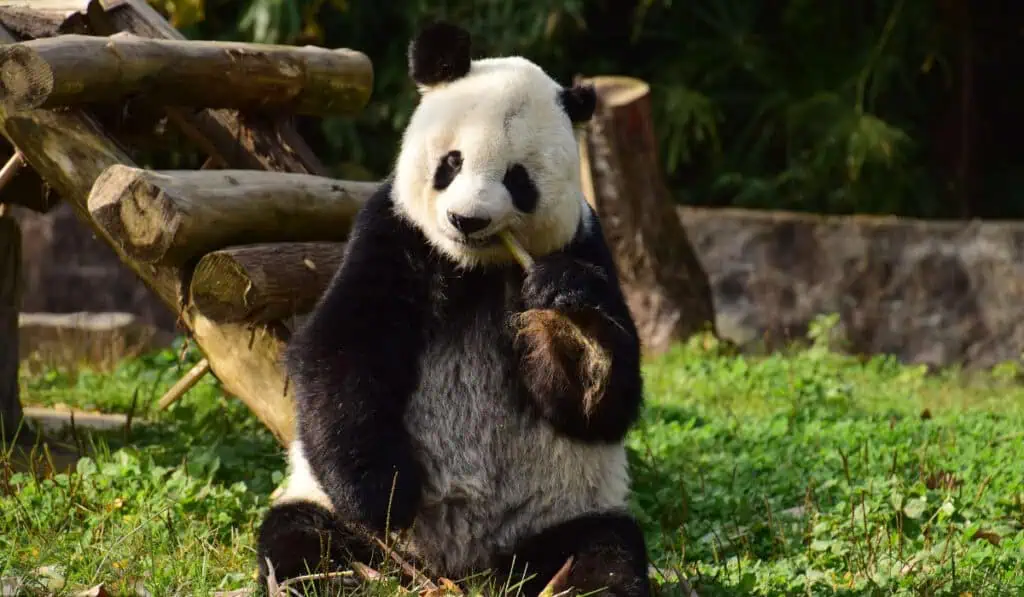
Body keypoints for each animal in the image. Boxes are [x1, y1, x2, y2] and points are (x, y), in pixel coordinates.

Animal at [256, 21, 652, 597]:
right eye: (452, 162)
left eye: (517, 179)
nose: (467, 219)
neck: (475, 266)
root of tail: (460, 566)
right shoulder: (394, 234)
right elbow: (340, 349)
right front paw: (384, 495)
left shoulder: (585, 241)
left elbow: (599, 405)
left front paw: (565, 313)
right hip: (324, 507)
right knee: (300, 540)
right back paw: (338, 570)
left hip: (561, 512)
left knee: (605, 551)